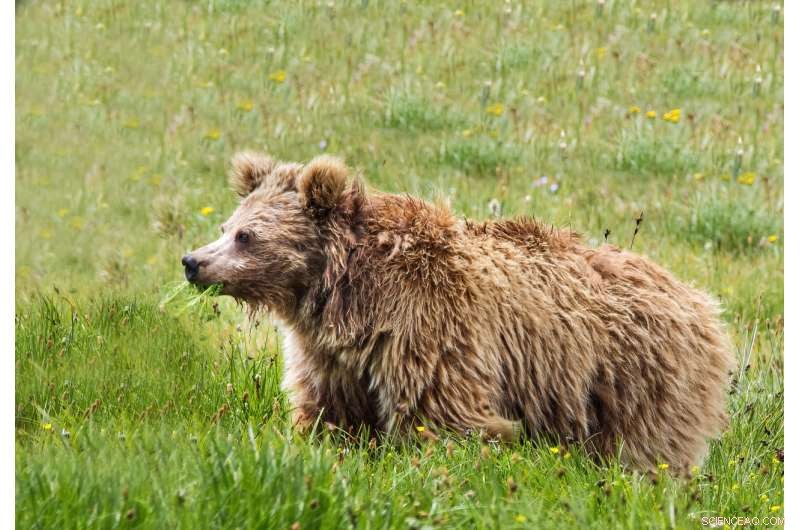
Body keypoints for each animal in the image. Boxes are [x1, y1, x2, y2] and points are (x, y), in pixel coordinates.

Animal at [182, 151, 736, 472]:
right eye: (227, 225)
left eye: (246, 235)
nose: (193, 262)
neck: (344, 291)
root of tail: (701, 301)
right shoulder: (330, 351)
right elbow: (329, 410)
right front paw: (314, 444)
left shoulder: (426, 323)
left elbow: (443, 413)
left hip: (639, 374)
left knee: (646, 446)